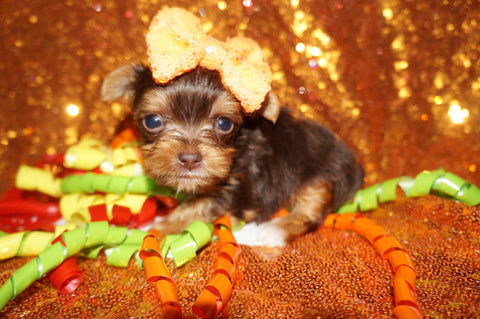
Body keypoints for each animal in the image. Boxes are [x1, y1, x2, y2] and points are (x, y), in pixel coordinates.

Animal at [102, 63, 364, 246]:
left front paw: (148, 230)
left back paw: (268, 232)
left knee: (309, 213)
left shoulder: (231, 190)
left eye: (224, 124)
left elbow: (191, 211)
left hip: (321, 175)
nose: (189, 159)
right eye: (153, 121)